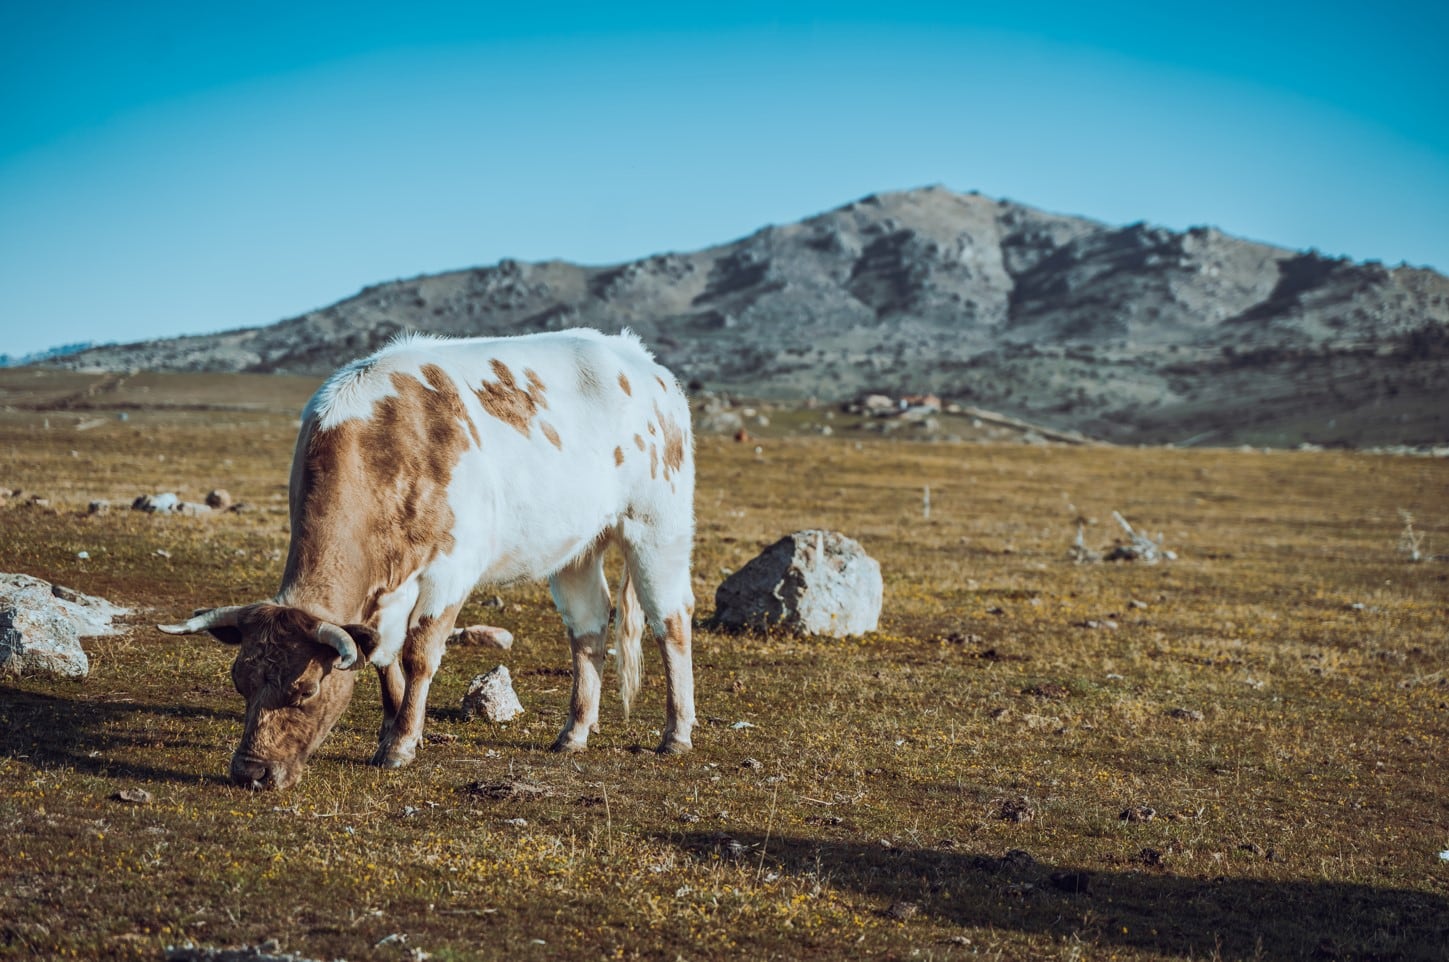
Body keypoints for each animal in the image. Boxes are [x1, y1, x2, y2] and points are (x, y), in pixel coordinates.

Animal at [158, 330, 695, 788]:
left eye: (305, 689)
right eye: (240, 682)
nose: (251, 772)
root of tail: (643, 363)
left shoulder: (450, 570)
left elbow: (418, 653)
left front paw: (401, 742)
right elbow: (381, 654)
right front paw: (389, 726)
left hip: (657, 527)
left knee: (670, 620)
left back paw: (676, 734)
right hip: (575, 546)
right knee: (588, 626)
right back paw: (575, 732)